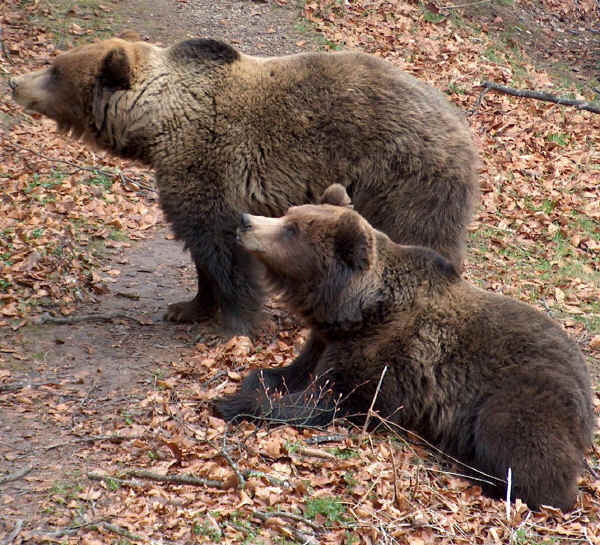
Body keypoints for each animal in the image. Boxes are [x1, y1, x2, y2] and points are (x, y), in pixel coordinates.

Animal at [8, 34, 478, 334]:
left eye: (54, 70)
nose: (14, 82)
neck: (157, 124)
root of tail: (463, 128)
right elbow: (202, 251)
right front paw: (187, 307)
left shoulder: (207, 163)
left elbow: (220, 244)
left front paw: (235, 322)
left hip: (405, 180)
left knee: (421, 238)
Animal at [216, 186, 596, 510]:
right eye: (288, 214)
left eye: (291, 229)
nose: (245, 220)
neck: (358, 310)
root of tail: (588, 393)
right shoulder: (327, 339)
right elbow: (293, 371)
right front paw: (255, 382)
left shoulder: (384, 360)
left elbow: (328, 399)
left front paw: (231, 403)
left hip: (523, 393)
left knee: (522, 449)